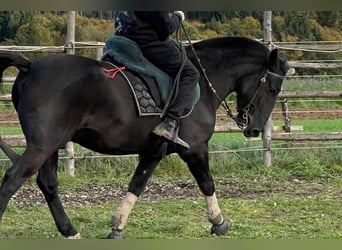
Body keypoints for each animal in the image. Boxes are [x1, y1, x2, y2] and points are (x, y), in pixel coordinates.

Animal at [0, 36, 288, 238]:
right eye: (273, 89)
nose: (254, 129)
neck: (202, 83)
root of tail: (30, 66)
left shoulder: (154, 150)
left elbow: (137, 184)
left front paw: (117, 226)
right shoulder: (194, 148)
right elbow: (207, 182)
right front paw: (218, 222)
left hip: (51, 146)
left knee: (48, 184)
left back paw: (70, 232)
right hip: (42, 144)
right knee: (12, 179)